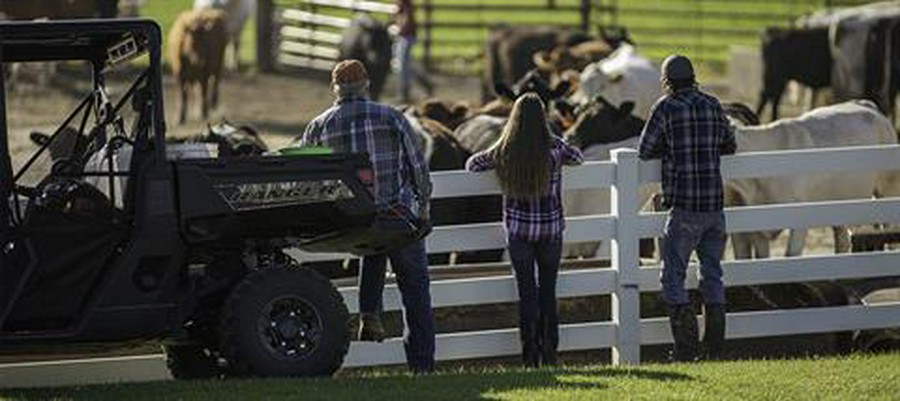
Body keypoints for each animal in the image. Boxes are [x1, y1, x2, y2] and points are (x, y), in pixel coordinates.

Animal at [728, 99, 900, 258]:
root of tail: (866, 104)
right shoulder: (758, 230)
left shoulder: (799, 220)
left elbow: (791, 255)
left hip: (887, 191)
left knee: (891, 237)